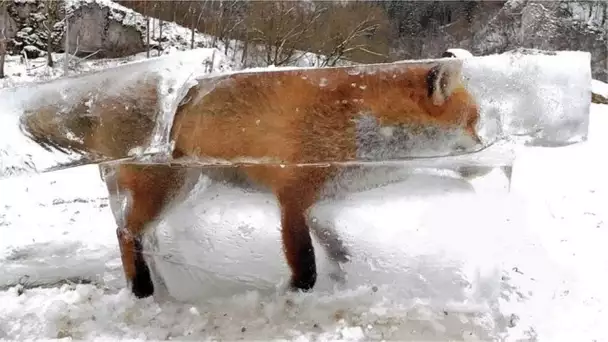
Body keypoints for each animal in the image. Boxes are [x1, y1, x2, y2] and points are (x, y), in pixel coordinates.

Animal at [21, 58, 482, 300]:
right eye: (474, 122)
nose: (485, 147)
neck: (353, 122)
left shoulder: (317, 201)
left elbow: (334, 243)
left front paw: (345, 269)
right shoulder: (292, 195)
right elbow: (305, 261)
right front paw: (296, 292)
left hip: (178, 190)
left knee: (137, 233)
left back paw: (166, 282)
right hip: (167, 187)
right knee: (125, 233)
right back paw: (143, 288)